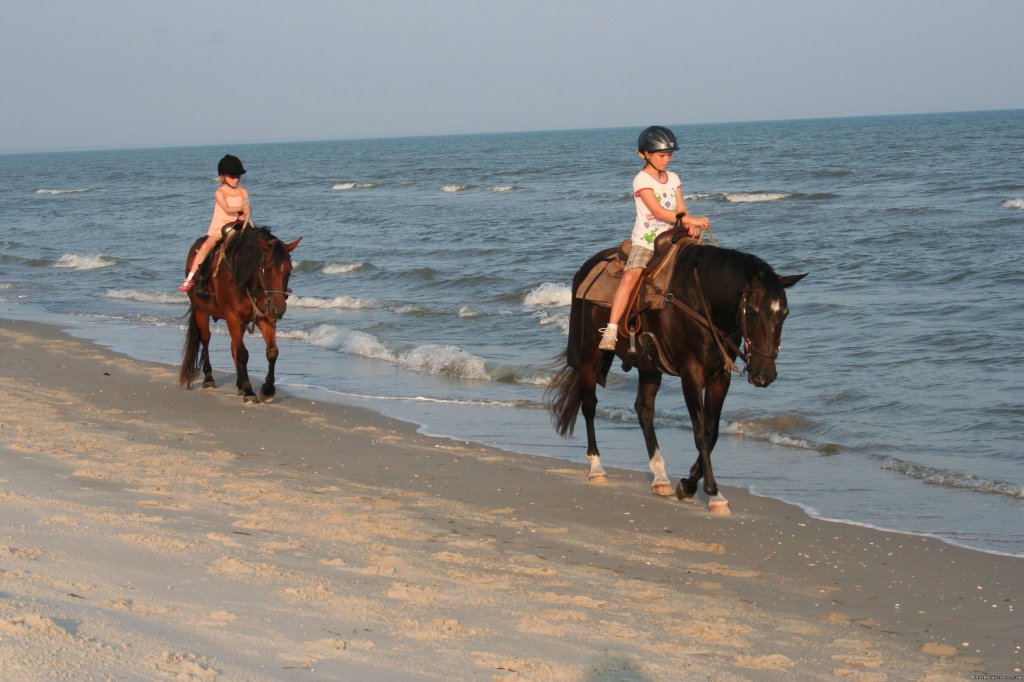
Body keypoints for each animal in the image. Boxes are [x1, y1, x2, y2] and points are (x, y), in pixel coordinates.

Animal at [178, 223, 299, 403]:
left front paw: (267, 389)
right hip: (201, 311)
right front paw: (249, 390)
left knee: (233, 346)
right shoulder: (233, 318)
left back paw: (239, 384)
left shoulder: (265, 318)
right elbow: (242, 354)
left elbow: (272, 352)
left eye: (289, 269)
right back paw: (209, 378)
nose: (279, 308)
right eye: (267, 268)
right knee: (206, 339)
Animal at [548, 241, 802, 512]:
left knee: (644, 410)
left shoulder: (720, 377)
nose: (764, 374)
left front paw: (688, 485)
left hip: (649, 368)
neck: (703, 304)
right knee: (589, 405)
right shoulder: (690, 375)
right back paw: (597, 467)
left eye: (784, 313)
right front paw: (713, 494)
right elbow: (700, 433)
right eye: (752, 312)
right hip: (589, 357)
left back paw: (660, 478)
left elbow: (711, 433)